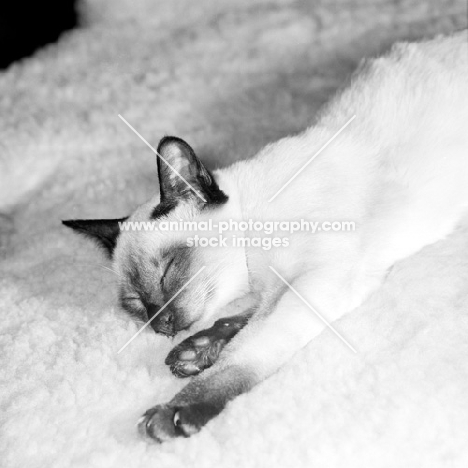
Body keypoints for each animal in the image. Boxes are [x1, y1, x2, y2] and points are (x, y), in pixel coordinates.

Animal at [63, 33, 468, 442]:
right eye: (134, 303)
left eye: (168, 271)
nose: (160, 324)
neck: (255, 266)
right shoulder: (282, 287)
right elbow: (240, 321)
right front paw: (196, 350)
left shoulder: (318, 282)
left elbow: (246, 350)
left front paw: (178, 407)